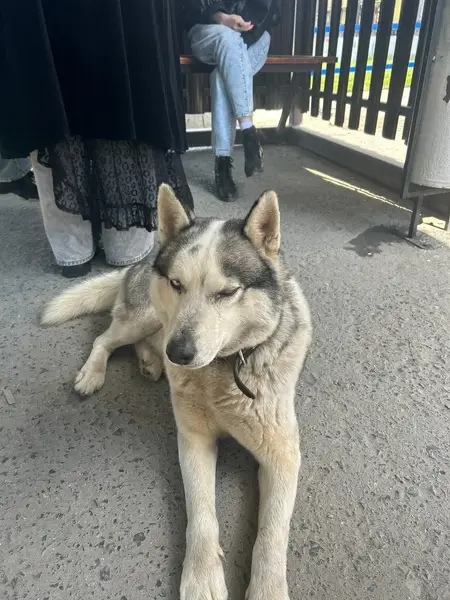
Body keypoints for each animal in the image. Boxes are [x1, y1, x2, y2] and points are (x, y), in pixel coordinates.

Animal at [42, 184, 312, 600]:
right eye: (176, 284)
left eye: (227, 292)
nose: (179, 354)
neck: (224, 368)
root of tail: (142, 261)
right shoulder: (194, 440)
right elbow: (200, 512)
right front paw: (201, 577)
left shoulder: (282, 456)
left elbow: (271, 535)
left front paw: (267, 589)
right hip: (146, 317)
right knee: (105, 338)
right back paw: (96, 372)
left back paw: (150, 362)